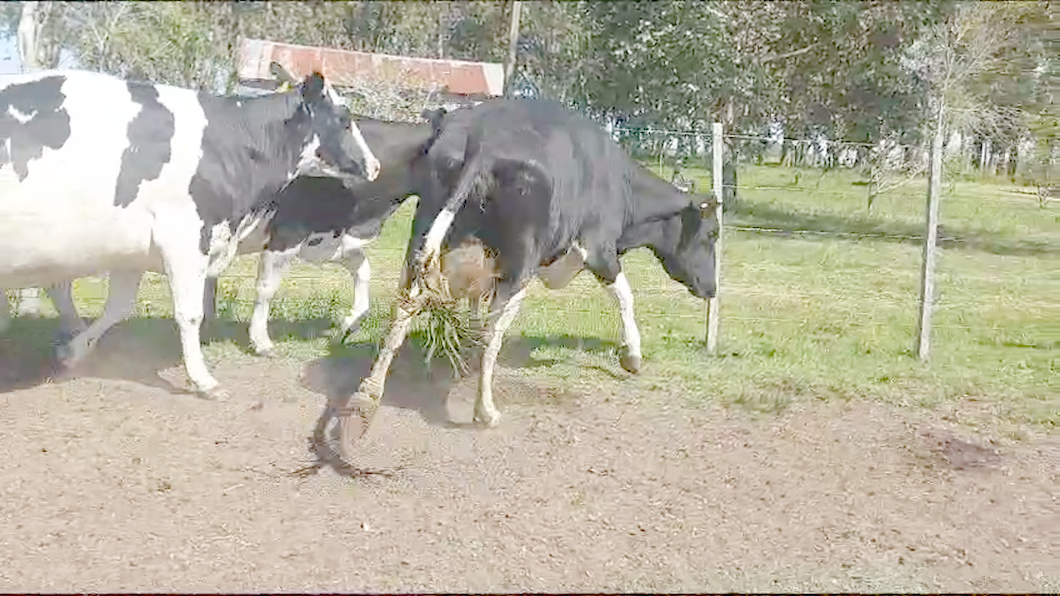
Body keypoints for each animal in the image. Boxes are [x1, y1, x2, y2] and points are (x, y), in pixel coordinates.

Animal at [0, 68, 379, 394]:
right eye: (345, 120)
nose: (375, 165)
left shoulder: (132, 249)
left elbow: (118, 307)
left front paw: (74, 351)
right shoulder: (186, 239)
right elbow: (190, 314)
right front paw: (203, 379)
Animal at [339, 97, 720, 449]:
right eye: (712, 234)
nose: (713, 289)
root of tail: (486, 138)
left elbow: (474, 304)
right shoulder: (598, 249)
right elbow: (625, 295)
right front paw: (632, 356)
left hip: (425, 231)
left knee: (404, 306)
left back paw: (365, 399)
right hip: (520, 264)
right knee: (494, 331)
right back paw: (485, 409)